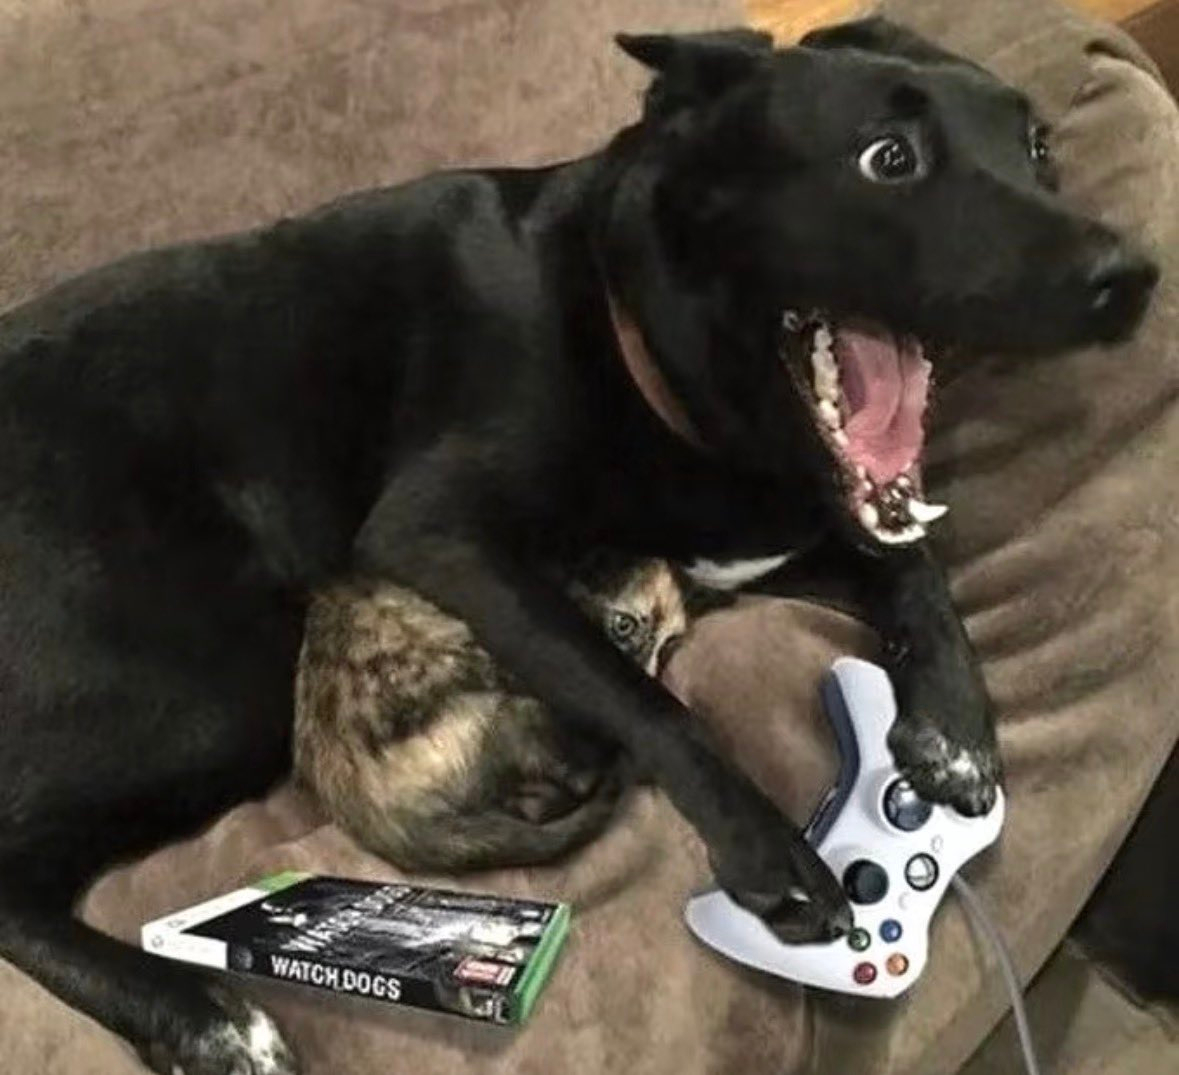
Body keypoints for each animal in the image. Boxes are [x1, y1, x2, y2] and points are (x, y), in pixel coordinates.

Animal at [0, 17, 1156, 1074]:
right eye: (889, 158)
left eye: (1039, 147)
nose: (1132, 277)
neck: (634, 327)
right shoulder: (442, 535)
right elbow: (630, 684)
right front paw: (764, 843)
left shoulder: (767, 539)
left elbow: (907, 562)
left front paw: (954, 722)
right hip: (214, 682)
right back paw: (201, 1015)